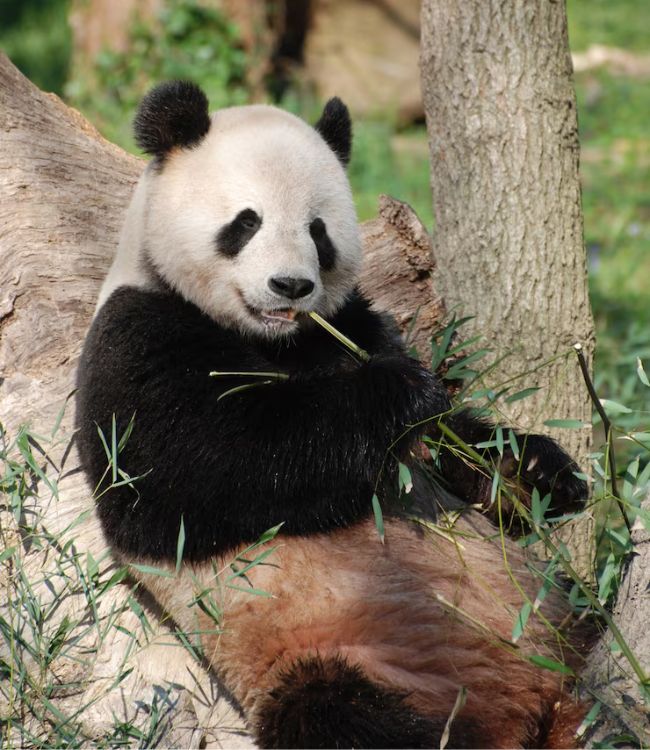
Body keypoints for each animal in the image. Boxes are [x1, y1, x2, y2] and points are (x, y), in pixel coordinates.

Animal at [75, 81, 589, 749]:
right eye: (246, 222)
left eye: (318, 231)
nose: (291, 286)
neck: (275, 341)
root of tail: (525, 709)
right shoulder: (136, 339)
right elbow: (207, 466)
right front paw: (400, 391)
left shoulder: (352, 323)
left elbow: (455, 450)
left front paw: (540, 470)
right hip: (343, 655)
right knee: (337, 715)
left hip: (551, 613)